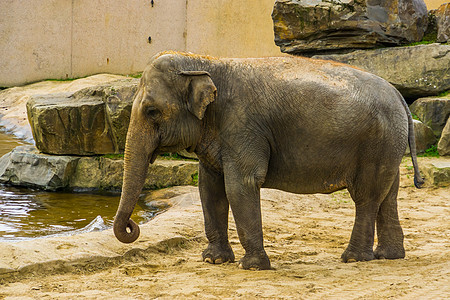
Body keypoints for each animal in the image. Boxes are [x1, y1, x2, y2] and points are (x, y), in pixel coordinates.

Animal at [111, 50, 422, 270]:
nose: (132, 226)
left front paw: (251, 267)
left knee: (366, 197)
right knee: (388, 195)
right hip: (387, 144)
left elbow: (240, 185)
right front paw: (213, 260)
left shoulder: (243, 126)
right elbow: (210, 189)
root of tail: (399, 95)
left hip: (374, 143)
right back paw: (389, 256)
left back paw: (354, 258)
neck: (206, 61)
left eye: (151, 111)